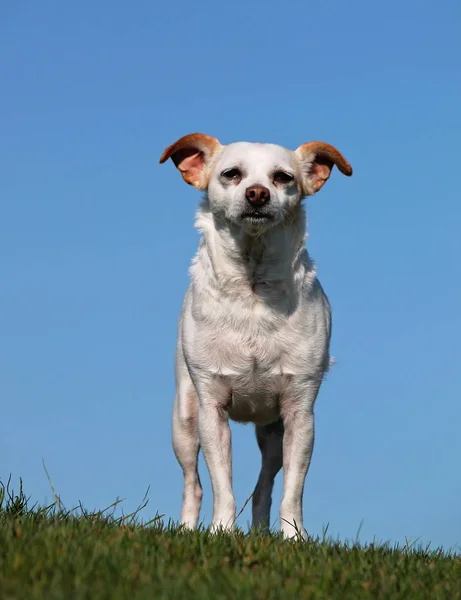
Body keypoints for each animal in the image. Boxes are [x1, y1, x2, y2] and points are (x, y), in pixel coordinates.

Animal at [159, 132, 352, 540]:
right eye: (232, 174)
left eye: (283, 178)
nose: (258, 193)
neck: (252, 289)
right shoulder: (211, 409)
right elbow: (222, 485)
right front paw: (220, 532)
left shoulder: (300, 414)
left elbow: (293, 490)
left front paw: (294, 538)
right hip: (184, 421)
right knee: (193, 483)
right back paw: (186, 530)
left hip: (273, 434)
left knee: (265, 486)